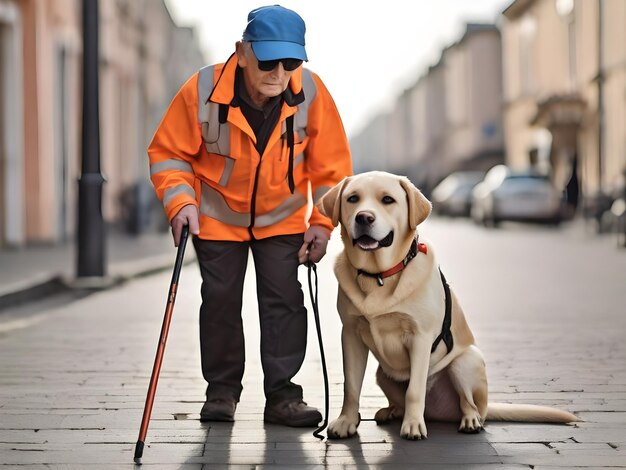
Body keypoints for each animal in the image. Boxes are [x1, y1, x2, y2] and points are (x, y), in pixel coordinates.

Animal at [314, 171, 576, 438]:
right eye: (352, 199)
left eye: (387, 200)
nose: (364, 217)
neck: (379, 275)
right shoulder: (351, 334)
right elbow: (351, 385)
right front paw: (346, 421)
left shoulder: (419, 337)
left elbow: (415, 390)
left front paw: (413, 426)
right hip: (382, 374)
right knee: (401, 400)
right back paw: (392, 411)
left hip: (465, 361)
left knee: (469, 404)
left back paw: (469, 420)